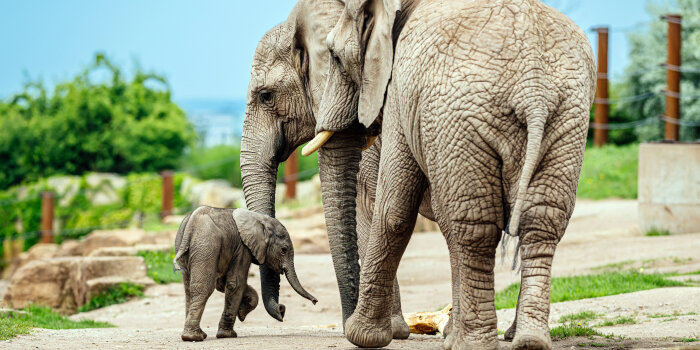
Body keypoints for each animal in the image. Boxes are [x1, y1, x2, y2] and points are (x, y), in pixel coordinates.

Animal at [174, 206, 318, 340]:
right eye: (284, 249)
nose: (315, 301)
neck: (259, 219)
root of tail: (191, 225)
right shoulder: (243, 247)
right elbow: (235, 283)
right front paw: (228, 334)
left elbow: (222, 284)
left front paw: (242, 313)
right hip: (207, 246)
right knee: (203, 287)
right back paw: (194, 337)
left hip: (188, 247)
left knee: (189, 289)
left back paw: (194, 335)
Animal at [308, 0, 596, 348]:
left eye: (335, 57)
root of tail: (534, 90)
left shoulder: (400, 94)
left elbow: (393, 212)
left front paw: (361, 336)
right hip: (566, 120)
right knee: (541, 220)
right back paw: (527, 340)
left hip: (461, 119)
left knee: (474, 227)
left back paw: (472, 343)